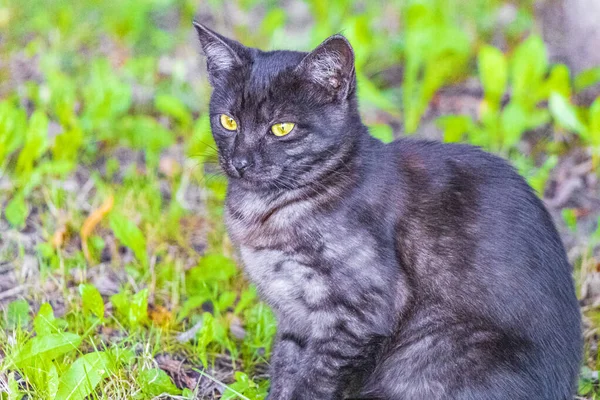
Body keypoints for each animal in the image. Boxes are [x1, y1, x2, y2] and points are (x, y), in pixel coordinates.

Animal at [193, 22, 580, 400]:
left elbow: (313, 380)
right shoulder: (293, 316)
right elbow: (286, 368)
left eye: (281, 128)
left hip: (427, 349)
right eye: (228, 122)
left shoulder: (359, 315)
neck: (267, 209)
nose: (240, 162)